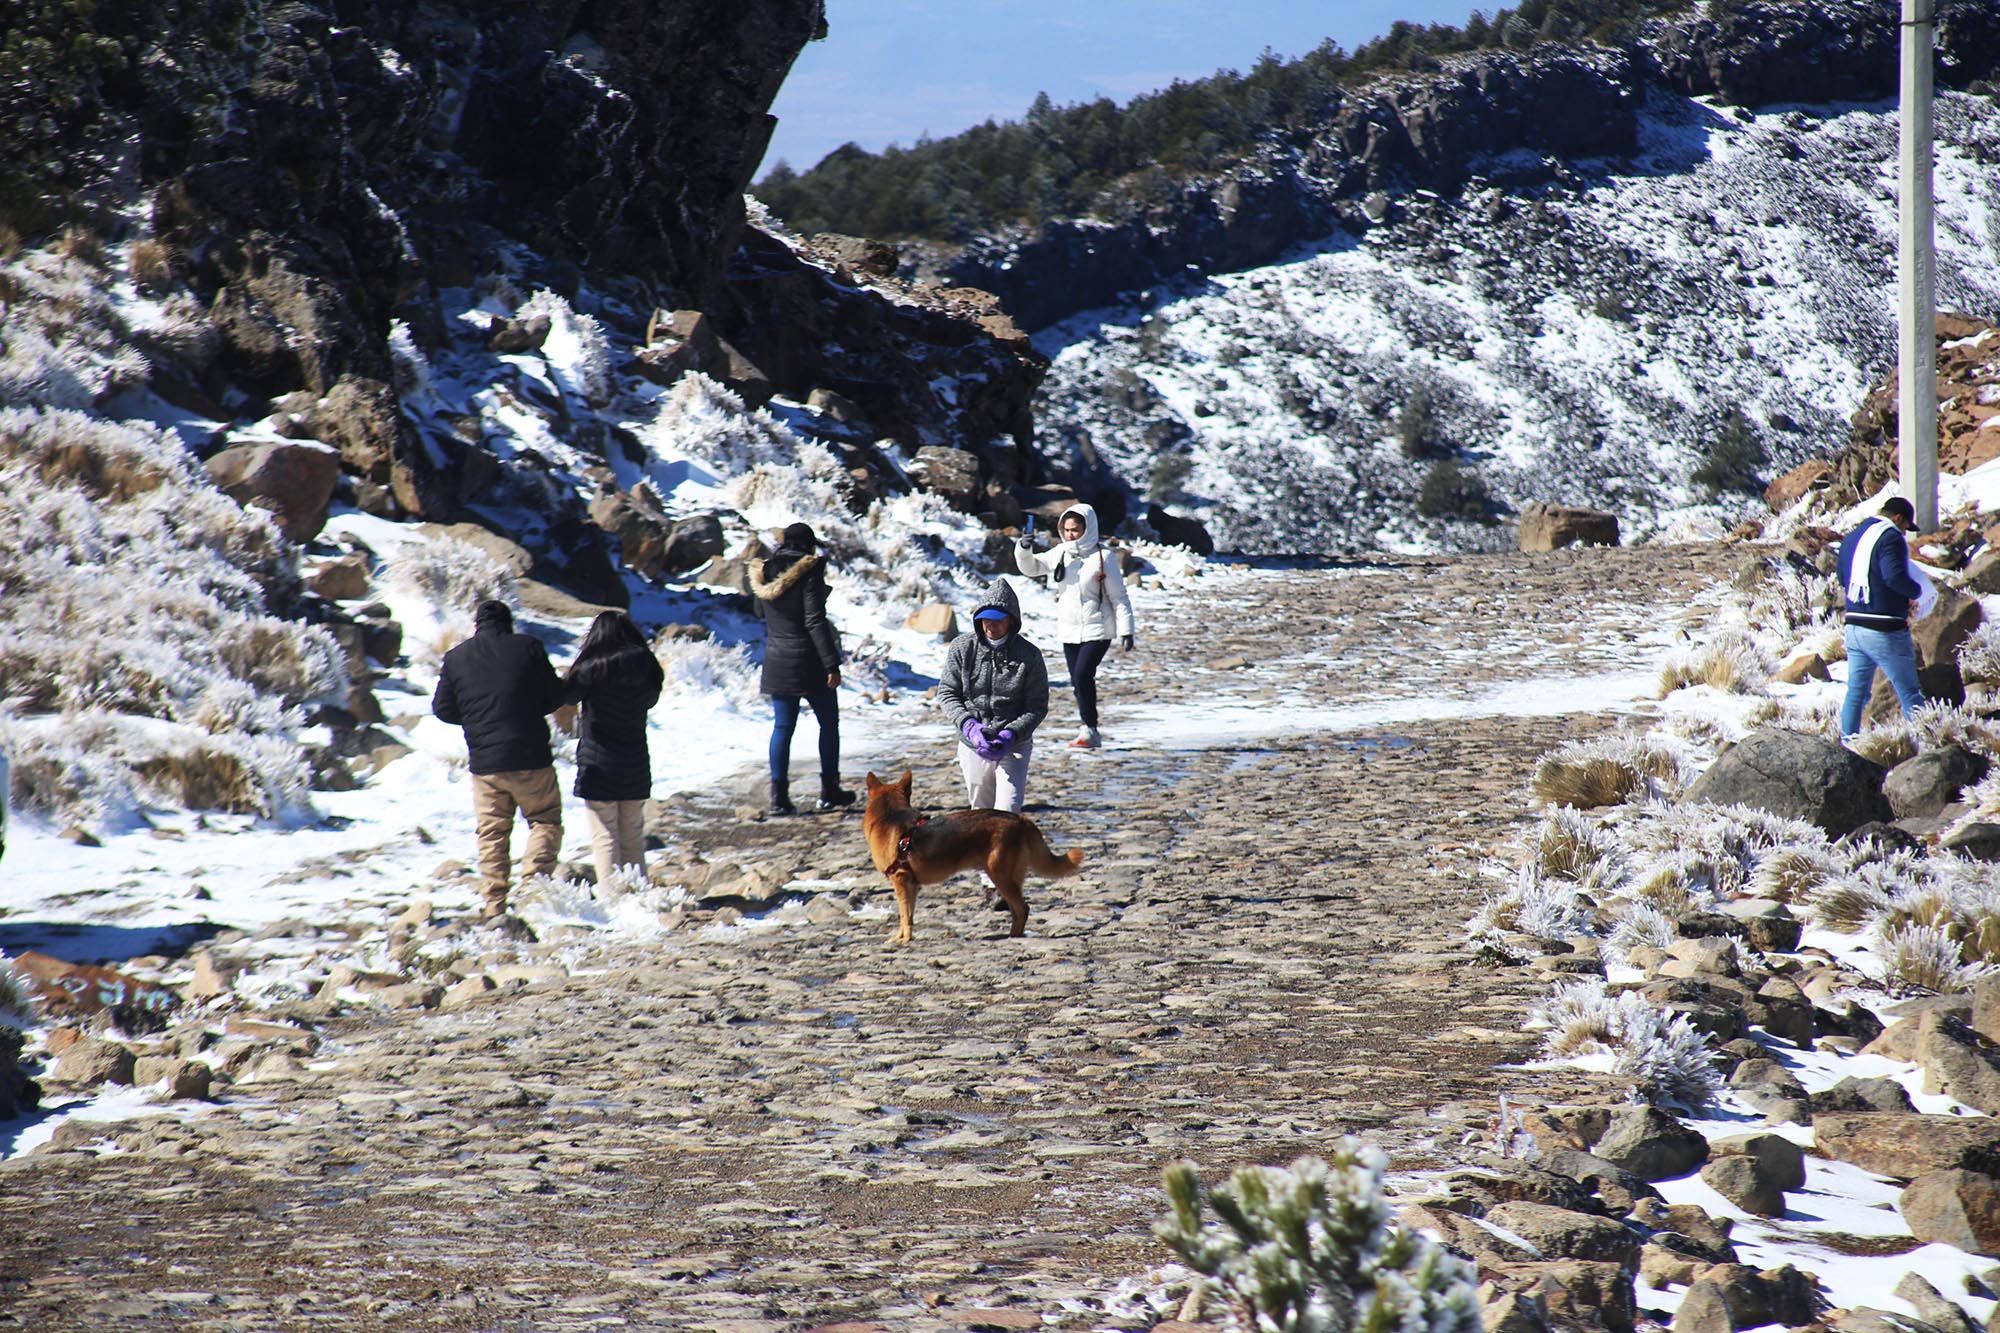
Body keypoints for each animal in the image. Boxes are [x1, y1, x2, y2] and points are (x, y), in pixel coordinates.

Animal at [860, 764, 1080, 940]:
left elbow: (904, 916)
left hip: (999, 874)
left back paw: (1012, 937)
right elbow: (908, 915)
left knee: (1022, 909)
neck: (889, 814)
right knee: (1018, 909)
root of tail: (1021, 820)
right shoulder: (911, 885)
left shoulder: (901, 881)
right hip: (1008, 877)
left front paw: (904, 940)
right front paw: (900, 937)